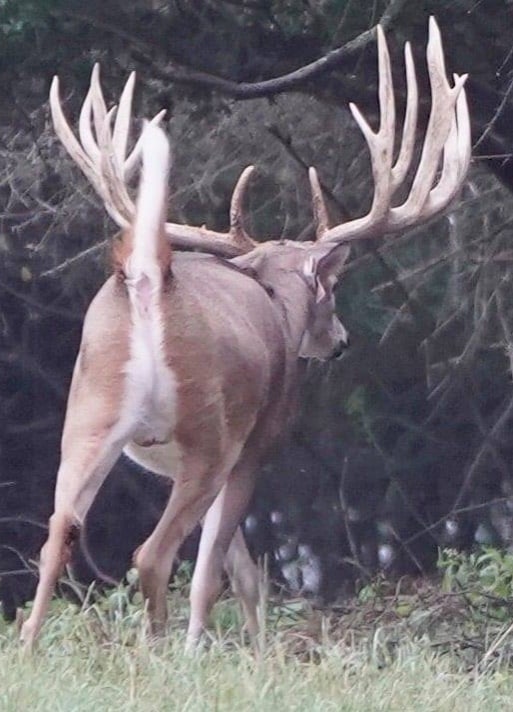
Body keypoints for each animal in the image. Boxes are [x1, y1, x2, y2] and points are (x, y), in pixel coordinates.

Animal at [19, 17, 470, 650]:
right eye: (331, 290)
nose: (341, 340)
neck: (278, 305)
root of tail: (148, 278)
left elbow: (241, 570)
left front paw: (256, 652)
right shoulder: (254, 446)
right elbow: (218, 571)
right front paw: (210, 651)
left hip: (89, 411)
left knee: (59, 530)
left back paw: (30, 645)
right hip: (207, 430)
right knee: (152, 553)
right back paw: (161, 651)